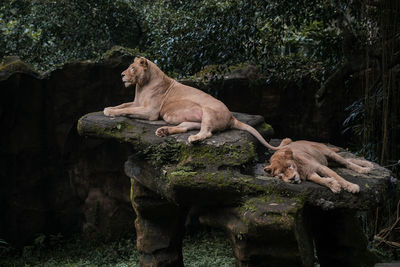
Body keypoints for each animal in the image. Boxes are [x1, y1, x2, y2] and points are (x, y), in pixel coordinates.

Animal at [102, 56, 284, 151]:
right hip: (192, 120)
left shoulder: (151, 112)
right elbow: (123, 105)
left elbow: (127, 110)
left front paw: (110, 112)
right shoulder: (136, 102)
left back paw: (194, 139)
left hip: (208, 110)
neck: (141, 85)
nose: (121, 75)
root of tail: (232, 117)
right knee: (184, 127)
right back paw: (163, 131)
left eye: (132, 68)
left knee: (207, 133)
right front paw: (109, 107)